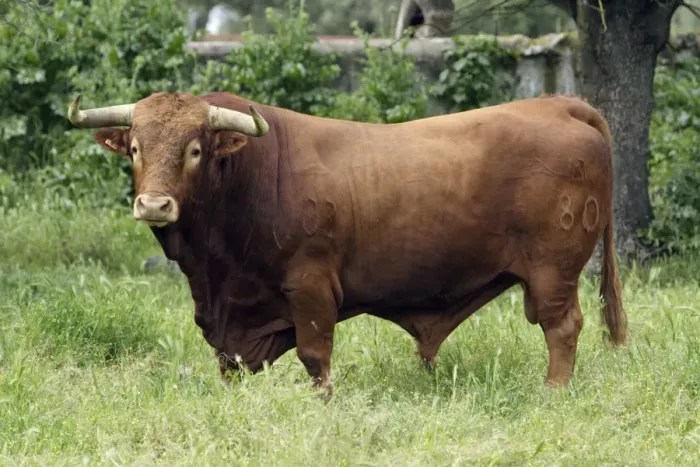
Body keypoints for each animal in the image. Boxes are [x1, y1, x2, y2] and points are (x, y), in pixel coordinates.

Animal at [67, 91, 627, 396]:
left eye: (196, 150)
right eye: (134, 148)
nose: (154, 205)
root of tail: (559, 106)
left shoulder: (312, 288)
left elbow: (316, 357)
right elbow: (230, 364)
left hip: (554, 272)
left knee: (562, 329)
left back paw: (552, 392)